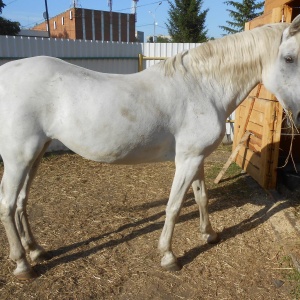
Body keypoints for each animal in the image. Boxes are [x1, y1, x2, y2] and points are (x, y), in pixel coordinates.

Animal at [0, 15, 300, 278]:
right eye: (289, 58)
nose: (298, 114)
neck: (203, 87)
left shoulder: (197, 158)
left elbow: (201, 197)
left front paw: (210, 234)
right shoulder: (187, 160)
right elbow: (174, 206)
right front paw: (168, 256)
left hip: (36, 154)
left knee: (21, 201)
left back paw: (36, 250)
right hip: (18, 157)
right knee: (7, 204)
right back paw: (22, 264)